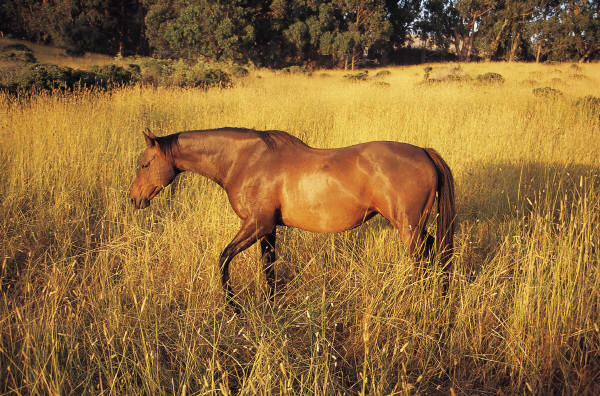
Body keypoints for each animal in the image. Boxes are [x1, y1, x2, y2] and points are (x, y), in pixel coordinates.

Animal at [127, 128, 454, 308]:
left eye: (144, 164)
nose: (134, 199)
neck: (244, 161)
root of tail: (424, 152)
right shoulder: (268, 229)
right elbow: (268, 267)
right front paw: (271, 305)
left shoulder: (255, 225)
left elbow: (223, 259)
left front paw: (233, 306)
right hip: (416, 226)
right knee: (434, 252)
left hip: (408, 227)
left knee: (420, 261)